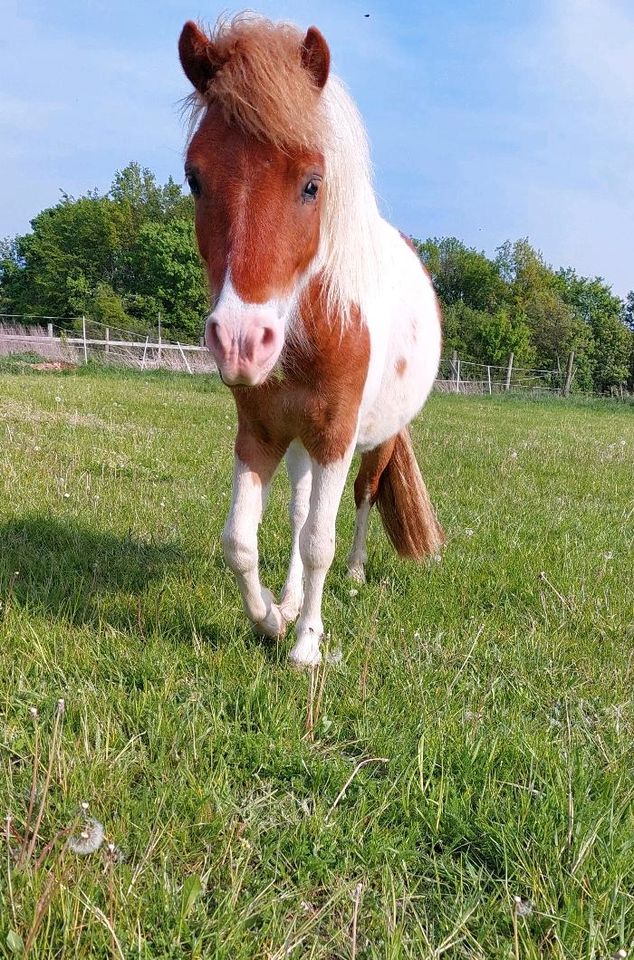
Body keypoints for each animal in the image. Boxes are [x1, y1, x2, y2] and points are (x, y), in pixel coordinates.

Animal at [179, 15, 444, 664]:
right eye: (195, 177)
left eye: (311, 183)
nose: (241, 342)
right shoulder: (261, 432)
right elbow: (240, 540)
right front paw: (272, 620)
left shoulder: (334, 436)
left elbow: (320, 539)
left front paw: (306, 647)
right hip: (299, 442)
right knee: (300, 513)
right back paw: (292, 597)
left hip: (376, 440)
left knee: (362, 500)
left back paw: (355, 572)